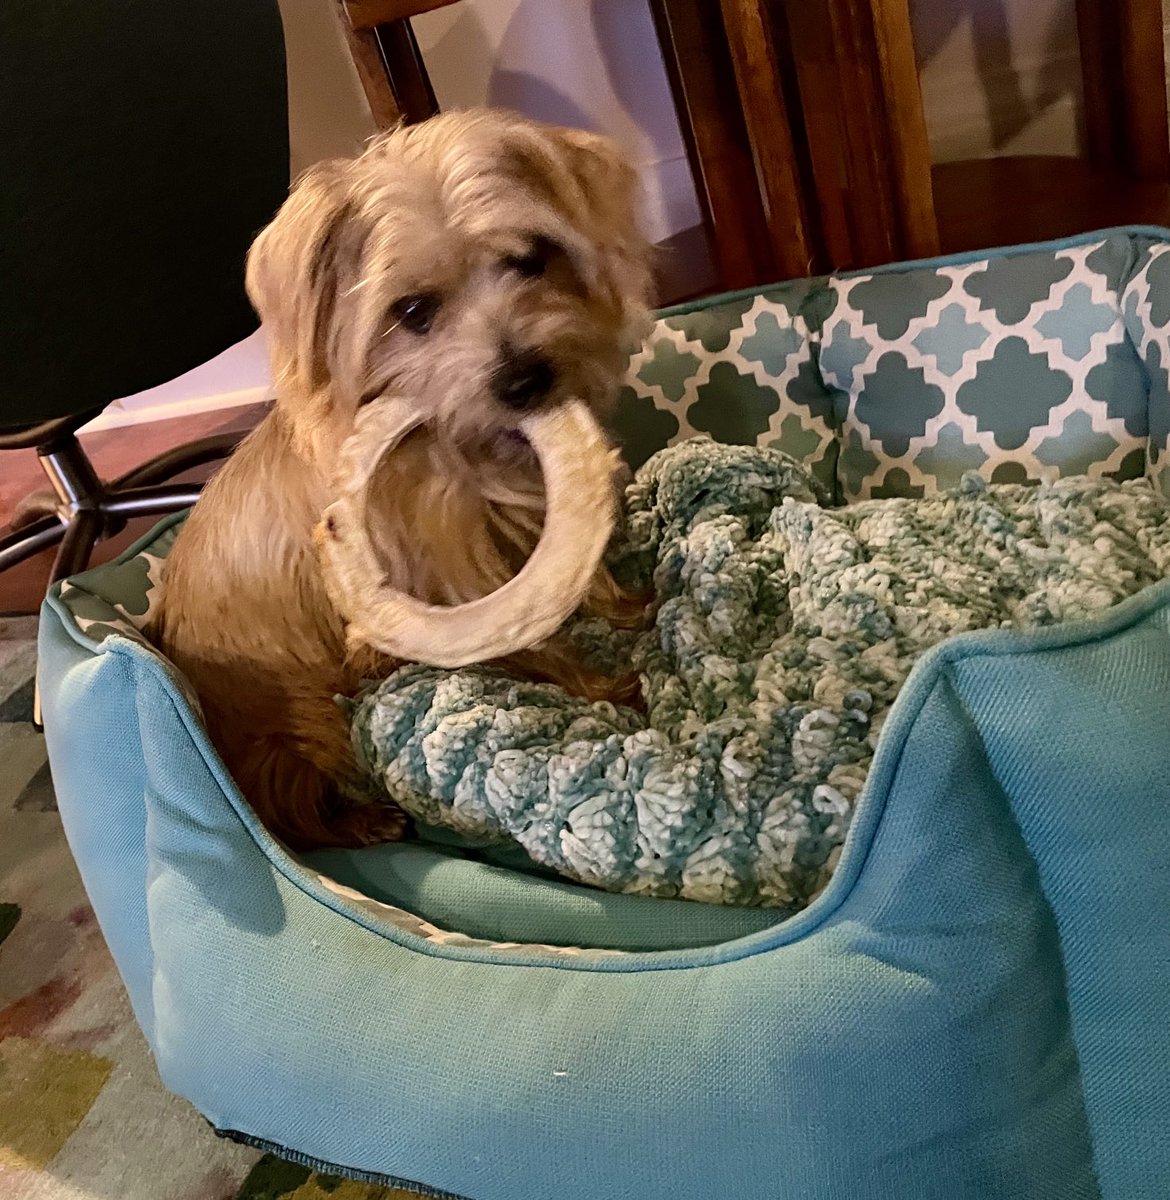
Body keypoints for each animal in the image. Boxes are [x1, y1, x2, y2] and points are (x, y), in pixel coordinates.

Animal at [150, 108, 652, 849]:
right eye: (413, 312)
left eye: (531, 259)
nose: (525, 380)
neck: (455, 457)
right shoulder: (452, 587)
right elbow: (538, 641)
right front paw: (608, 691)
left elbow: (586, 583)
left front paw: (631, 609)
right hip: (297, 719)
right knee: (298, 800)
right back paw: (362, 818)